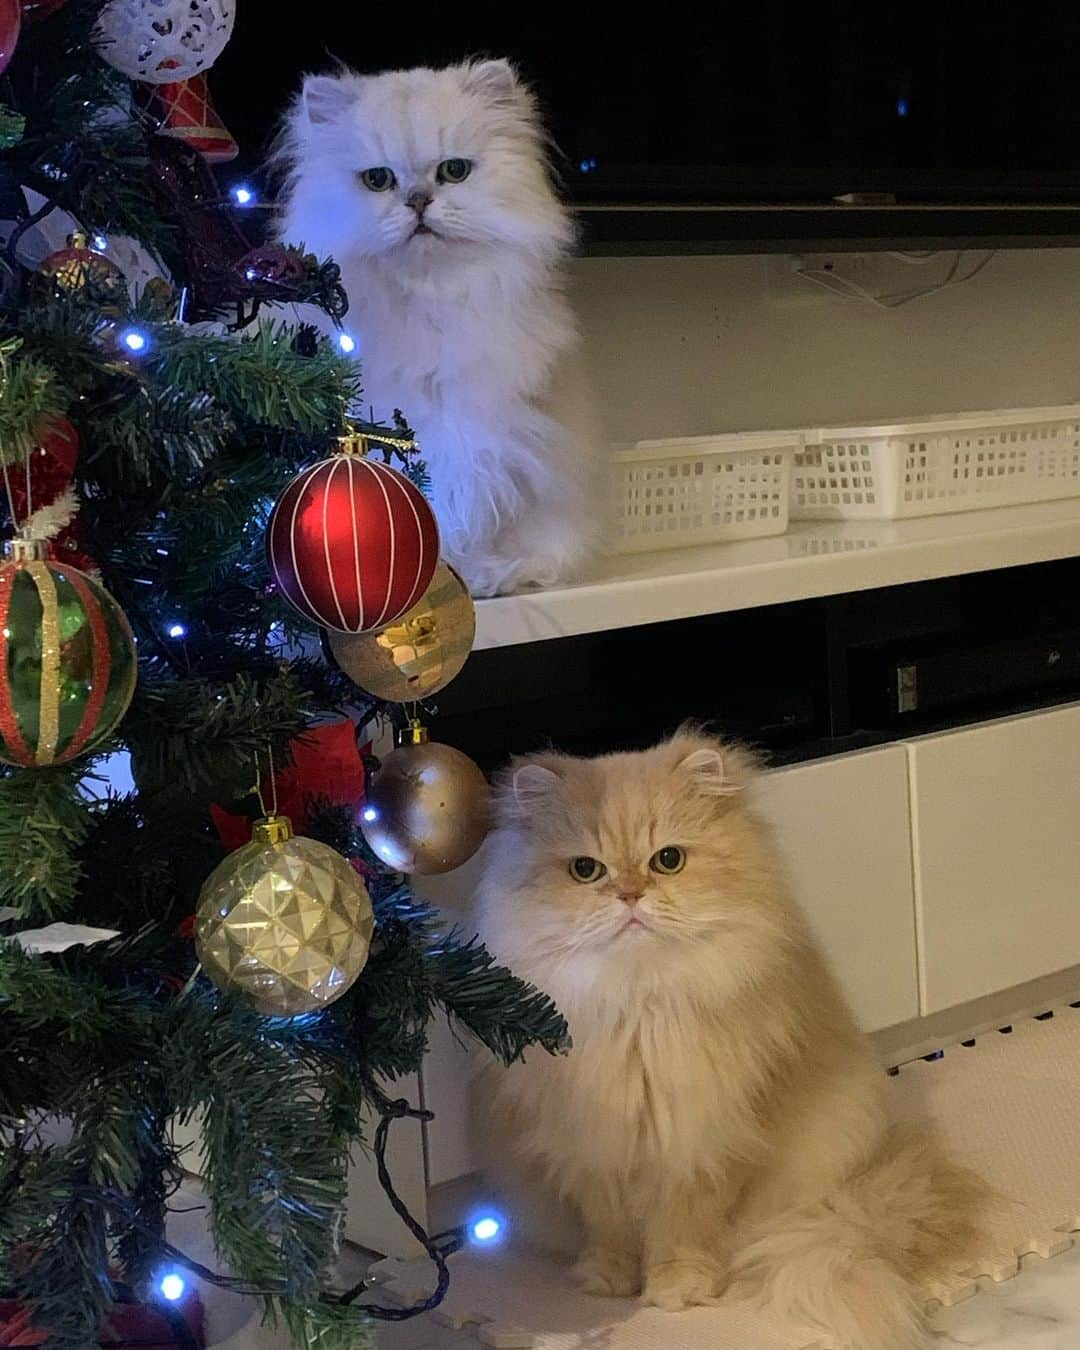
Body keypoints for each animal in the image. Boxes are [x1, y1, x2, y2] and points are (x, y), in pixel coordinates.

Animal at [274, 58, 599, 596]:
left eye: (454, 171)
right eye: (378, 180)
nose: (418, 201)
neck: (430, 301)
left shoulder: (485, 433)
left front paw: (483, 577)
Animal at [475, 729, 993, 1350]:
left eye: (668, 860)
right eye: (585, 870)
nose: (629, 895)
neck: (639, 1007)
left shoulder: (704, 1143)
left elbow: (683, 1230)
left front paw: (678, 1288)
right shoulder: (591, 1147)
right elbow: (610, 1229)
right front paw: (610, 1281)